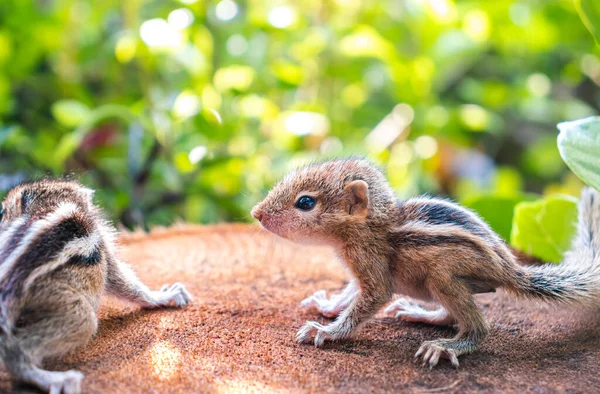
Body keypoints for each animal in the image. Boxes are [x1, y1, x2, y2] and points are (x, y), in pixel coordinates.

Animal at [0, 179, 192, 394]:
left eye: (3, 212)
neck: (53, 203)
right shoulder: (103, 246)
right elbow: (124, 283)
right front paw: (163, 296)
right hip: (64, 305)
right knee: (16, 354)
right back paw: (56, 380)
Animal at [251, 159, 600, 368]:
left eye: (305, 202)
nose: (256, 212)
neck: (371, 228)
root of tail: (510, 271)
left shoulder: (374, 273)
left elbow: (364, 305)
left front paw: (327, 331)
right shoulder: (359, 273)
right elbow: (348, 294)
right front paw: (325, 305)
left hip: (442, 278)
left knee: (479, 327)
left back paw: (446, 347)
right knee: (449, 315)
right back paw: (420, 314)